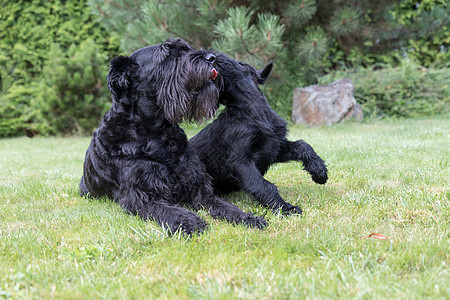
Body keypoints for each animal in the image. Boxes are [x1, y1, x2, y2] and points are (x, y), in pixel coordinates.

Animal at [79, 38, 268, 234]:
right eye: (167, 55)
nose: (212, 58)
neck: (156, 133)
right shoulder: (143, 196)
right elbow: (171, 210)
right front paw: (191, 222)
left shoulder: (198, 187)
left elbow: (225, 205)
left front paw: (248, 218)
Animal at [190, 54, 326, 216]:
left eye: (240, 62)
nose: (211, 55)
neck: (251, 109)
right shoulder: (241, 162)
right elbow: (264, 185)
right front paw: (285, 208)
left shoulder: (273, 148)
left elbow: (302, 145)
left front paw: (319, 171)